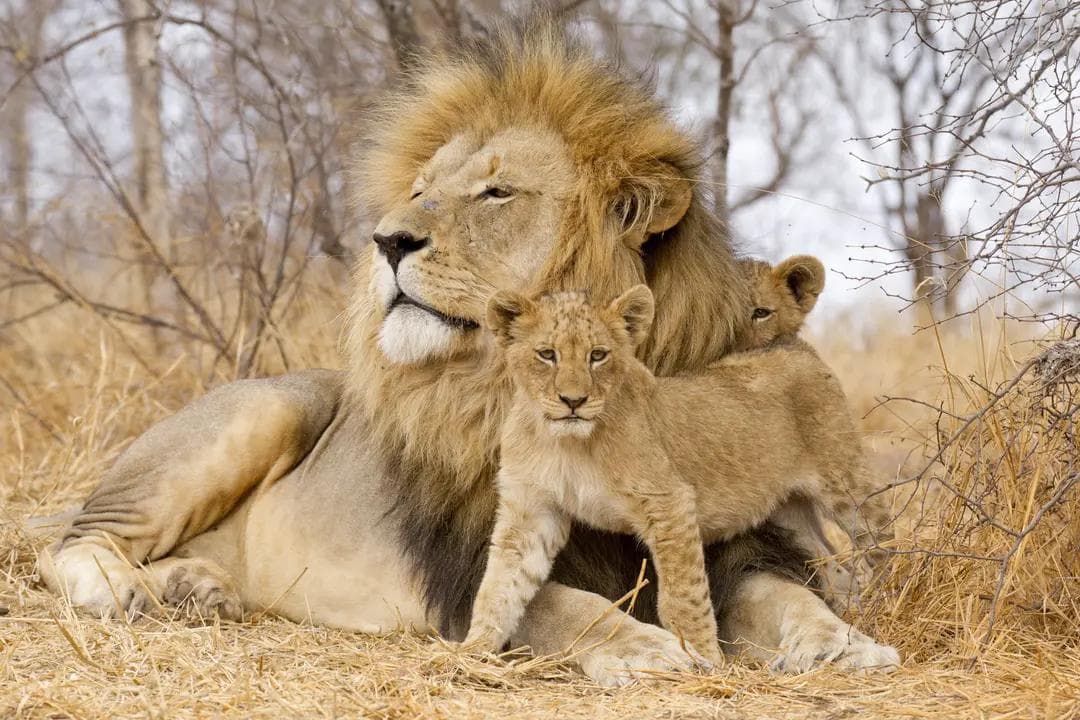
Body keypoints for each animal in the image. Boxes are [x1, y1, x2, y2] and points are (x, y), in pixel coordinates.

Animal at [464, 286, 894, 666]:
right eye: (547, 354)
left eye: (598, 355)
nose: (574, 401)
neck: (565, 442)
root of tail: (793, 344)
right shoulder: (530, 511)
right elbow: (499, 585)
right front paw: (470, 653)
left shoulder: (669, 502)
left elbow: (681, 598)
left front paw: (705, 662)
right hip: (788, 510)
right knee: (832, 560)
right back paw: (851, 609)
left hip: (845, 484)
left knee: (880, 542)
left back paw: (890, 600)